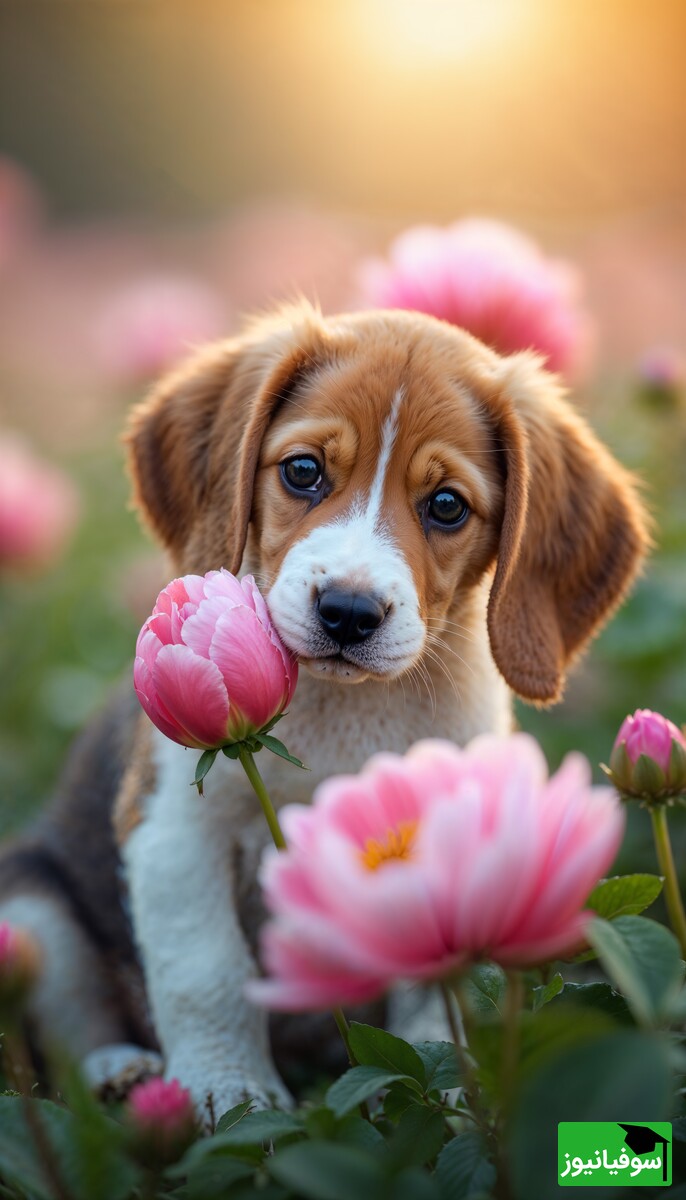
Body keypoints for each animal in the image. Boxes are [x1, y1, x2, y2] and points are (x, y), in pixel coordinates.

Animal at [0, 304, 647, 1118]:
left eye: (447, 506)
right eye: (303, 471)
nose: (348, 611)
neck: (346, 709)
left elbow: (437, 998)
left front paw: (453, 1095)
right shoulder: (174, 831)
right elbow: (206, 973)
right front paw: (230, 1094)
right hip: (34, 915)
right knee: (62, 1047)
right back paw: (127, 1077)